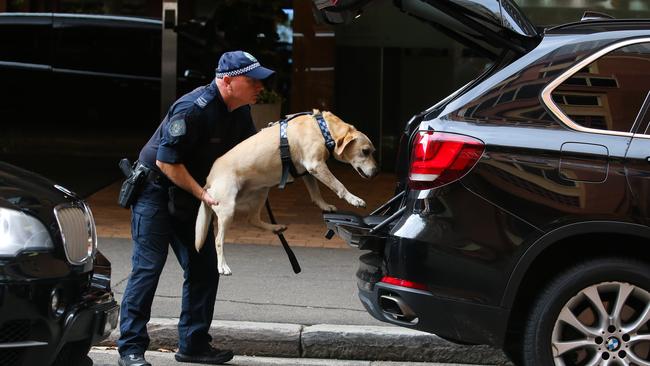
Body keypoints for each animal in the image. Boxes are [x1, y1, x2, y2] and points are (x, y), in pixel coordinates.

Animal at [192, 110, 378, 276]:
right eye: (365, 151)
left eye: (372, 151)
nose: (376, 172)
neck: (323, 129)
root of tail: (208, 181)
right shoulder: (315, 165)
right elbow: (338, 185)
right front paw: (354, 199)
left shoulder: (307, 171)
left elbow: (315, 192)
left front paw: (324, 205)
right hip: (228, 209)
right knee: (218, 240)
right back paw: (222, 266)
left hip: (262, 192)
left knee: (252, 219)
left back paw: (276, 227)